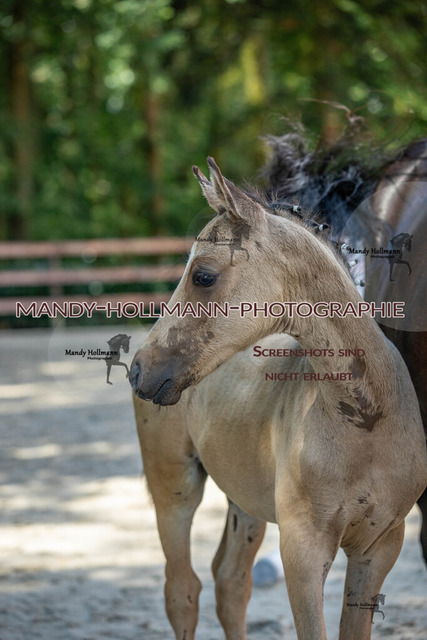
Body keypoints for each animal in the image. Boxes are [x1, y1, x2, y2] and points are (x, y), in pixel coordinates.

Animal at [130, 157, 427, 640]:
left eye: (203, 276)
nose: (139, 369)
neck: (365, 423)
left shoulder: (380, 545)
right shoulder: (302, 548)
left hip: (244, 498)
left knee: (231, 582)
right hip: (173, 485)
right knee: (183, 590)